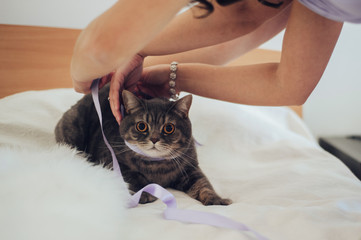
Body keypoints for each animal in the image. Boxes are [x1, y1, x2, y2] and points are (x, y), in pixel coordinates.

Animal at [55, 84, 231, 204]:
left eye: (169, 128)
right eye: (142, 126)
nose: (154, 139)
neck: (157, 167)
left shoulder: (191, 168)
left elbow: (203, 184)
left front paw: (216, 200)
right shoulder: (112, 159)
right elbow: (134, 176)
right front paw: (145, 193)